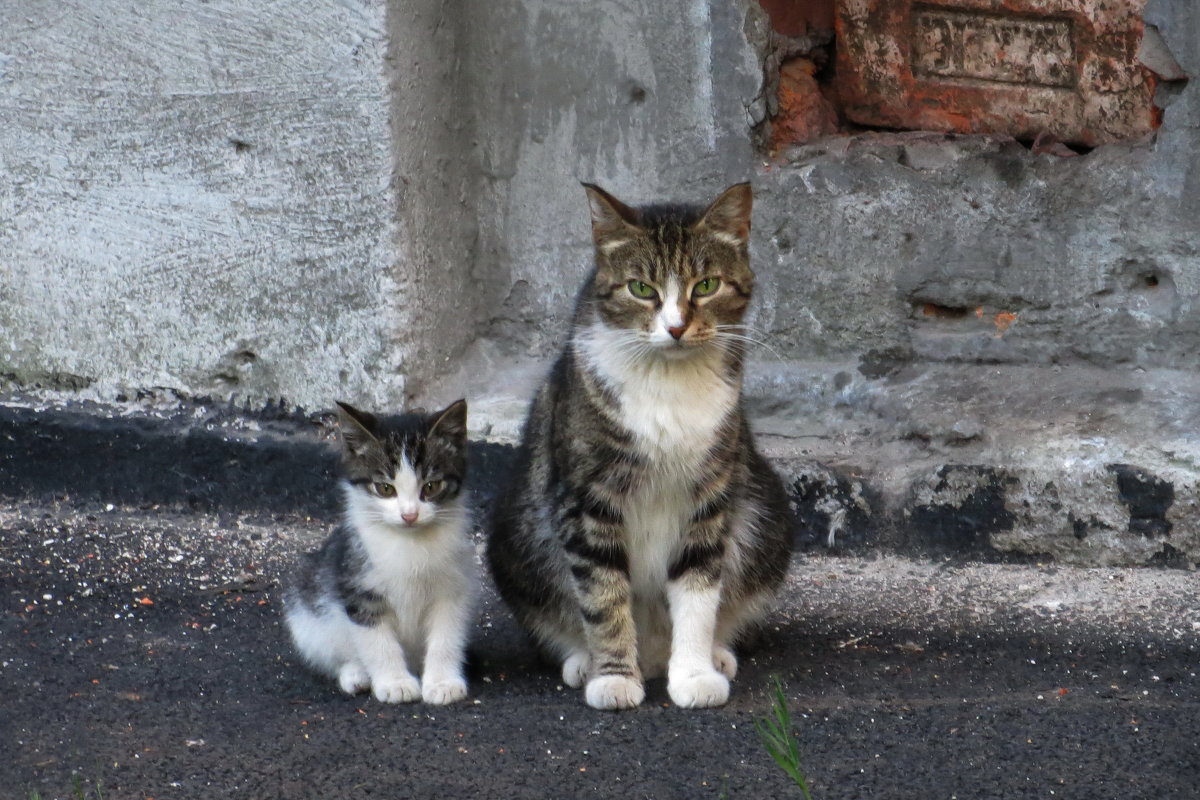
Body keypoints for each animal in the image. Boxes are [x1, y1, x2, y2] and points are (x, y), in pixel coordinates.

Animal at [285, 402, 472, 705]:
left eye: (431, 486)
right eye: (385, 488)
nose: (409, 515)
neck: (409, 542)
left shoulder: (453, 588)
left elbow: (447, 635)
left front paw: (442, 682)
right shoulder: (358, 586)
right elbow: (377, 641)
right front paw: (396, 683)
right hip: (306, 616)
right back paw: (356, 674)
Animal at [487, 183, 796, 714]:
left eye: (706, 285)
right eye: (642, 289)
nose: (675, 327)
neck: (668, 380)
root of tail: (651, 654)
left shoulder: (709, 492)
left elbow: (698, 588)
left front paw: (694, 675)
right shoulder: (588, 499)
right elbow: (603, 595)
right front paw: (613, 678)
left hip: (768, 514)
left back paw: (717, 655)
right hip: (515, 534)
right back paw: (584, 661)